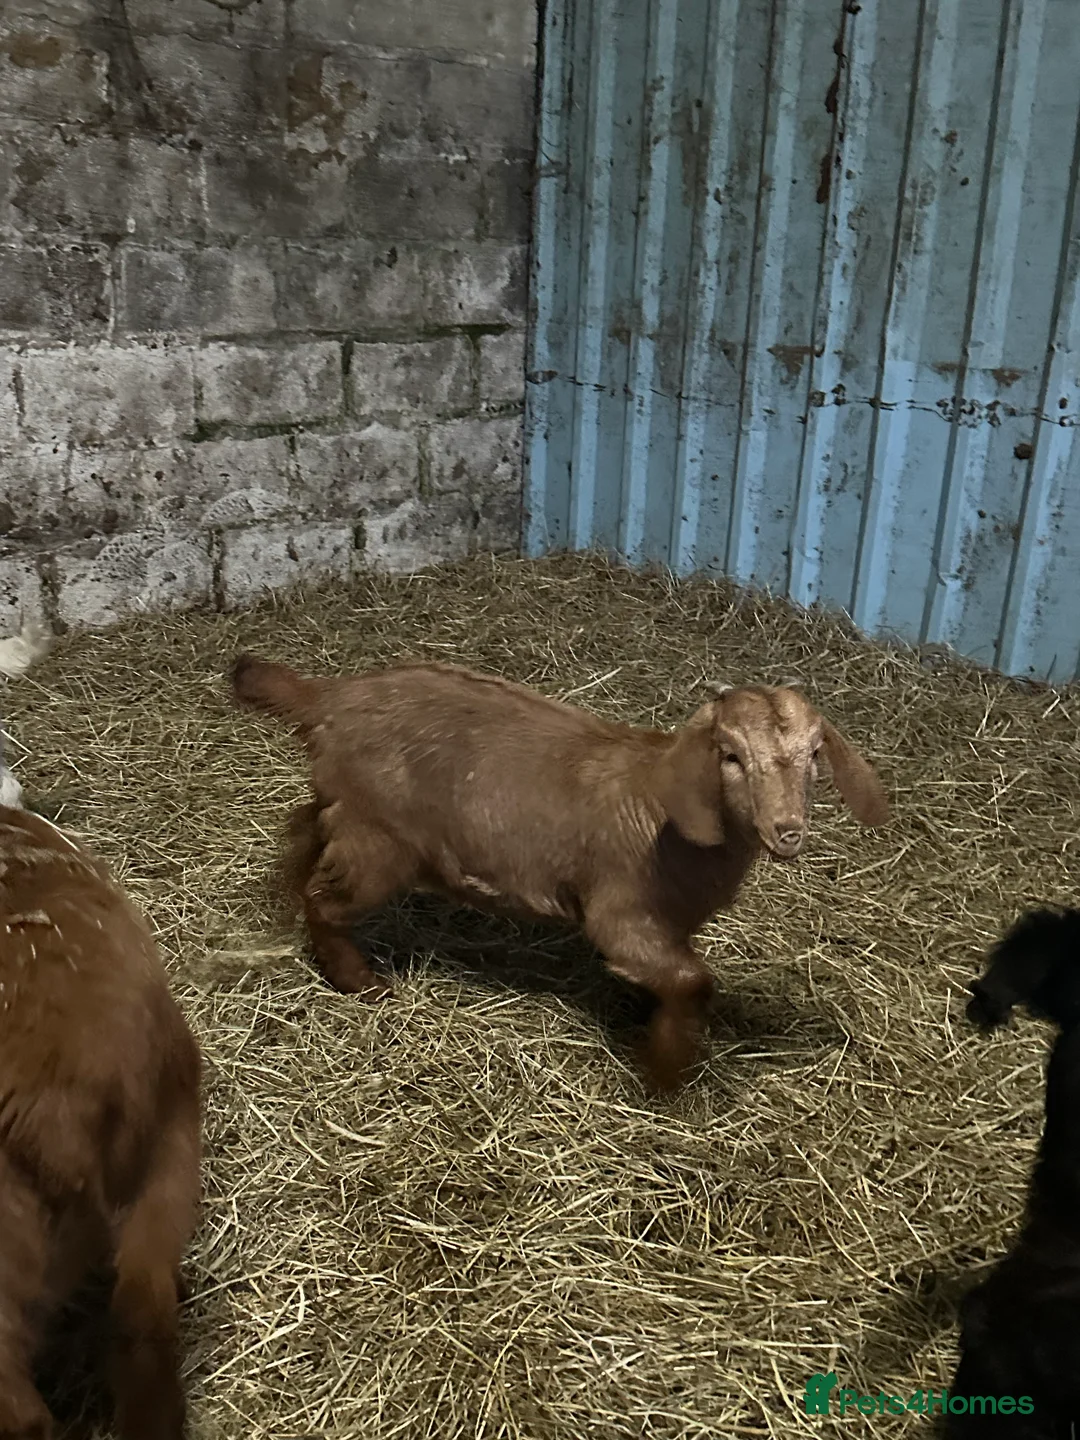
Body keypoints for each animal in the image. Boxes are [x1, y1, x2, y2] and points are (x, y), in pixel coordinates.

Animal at [231, 656, 889, 1092]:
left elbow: (672, 978)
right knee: (326, 897)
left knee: (304, 831)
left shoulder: (667, 925)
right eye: (730, 756)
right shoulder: (620, 912)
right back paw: (358, 981)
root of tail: (328, 700)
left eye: (814, 755)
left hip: (348, 813)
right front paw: (665, 1069)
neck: (665, 818)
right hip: (379, 843)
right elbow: (693, 981)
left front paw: (645, 1020)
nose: (788, 831)